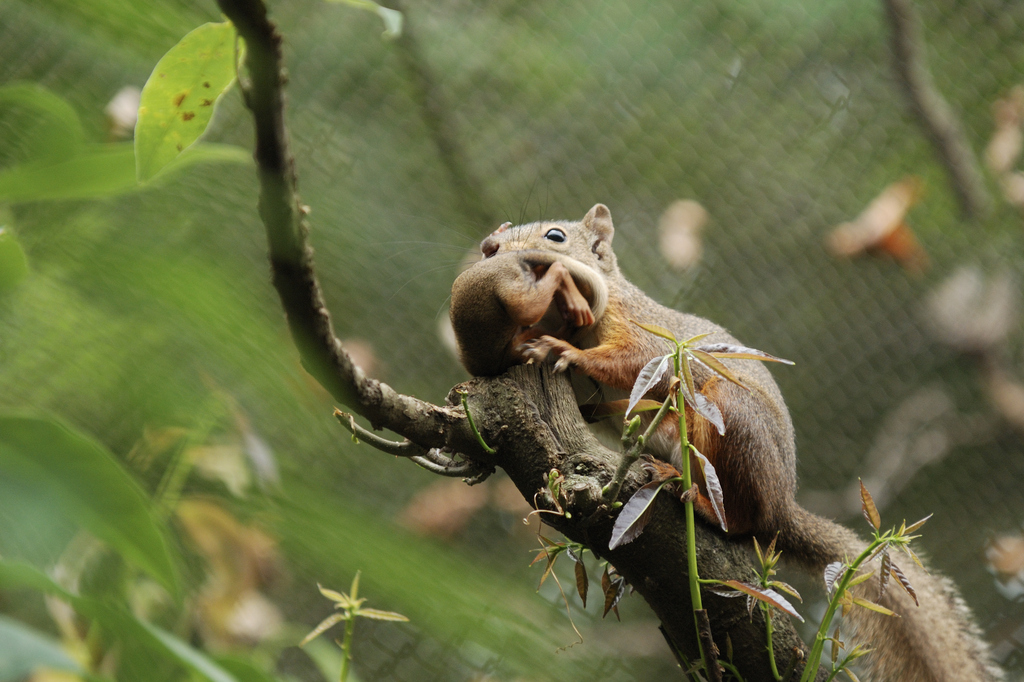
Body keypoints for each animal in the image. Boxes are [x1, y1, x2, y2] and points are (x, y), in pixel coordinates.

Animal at [452, 202, 1003, 679]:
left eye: (555, 236)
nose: (488, 247)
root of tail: (780, 507)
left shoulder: (649, 338)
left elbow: (632, 360)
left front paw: (561, 349)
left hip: (730, 423)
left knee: (737, 521)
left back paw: (689, 491)